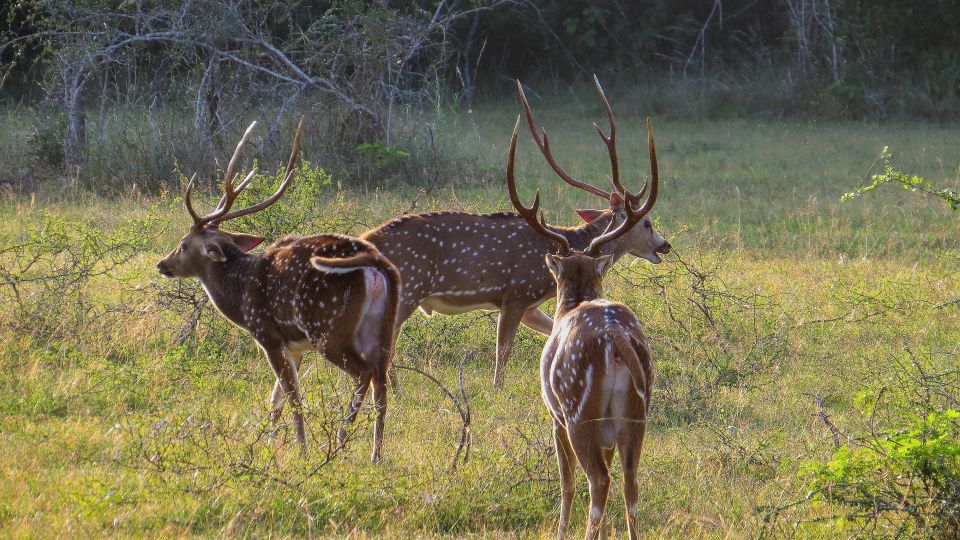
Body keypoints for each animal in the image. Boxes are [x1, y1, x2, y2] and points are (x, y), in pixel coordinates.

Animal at [155, 120, 402, 462]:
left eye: (182, 245)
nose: (161, 264)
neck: (240, 293)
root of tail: (378, 266)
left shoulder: (267, 335)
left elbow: (292, 395)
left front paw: (301, 449)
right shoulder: (294, 345)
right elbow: (276, 398)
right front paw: (270, 443)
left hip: (329, 328)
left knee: (363, 373)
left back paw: (339, 440)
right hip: (382, 328)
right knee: (382, 381)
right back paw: (375, 455)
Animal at [364, 76, 672, 388]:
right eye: (647, 222)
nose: (664, 245)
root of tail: (368, 240)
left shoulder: (530, 306)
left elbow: (552, 331)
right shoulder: (516, 294)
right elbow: (502, 355)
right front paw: (497, 391)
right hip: (408, 289)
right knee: (385, 344)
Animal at [510, 115, 660, 540]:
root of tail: (615, 339)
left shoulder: (554, 415)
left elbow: (565, 482)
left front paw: (559, 530)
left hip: (578, 409)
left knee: (597, 481)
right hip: (636, 412)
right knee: (630, 482)